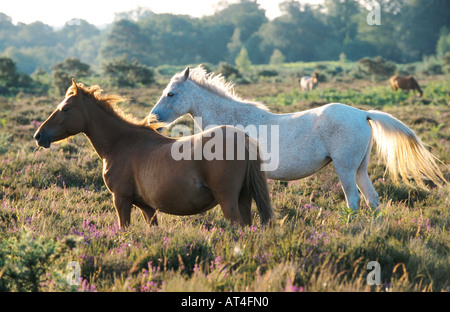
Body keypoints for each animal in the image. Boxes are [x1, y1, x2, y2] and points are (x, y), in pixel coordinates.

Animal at [33, 79, 274, 228]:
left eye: (65, 108)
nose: (39, 135)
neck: (121, 143)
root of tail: (243, 138)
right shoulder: (148, 208)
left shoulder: (121, 200)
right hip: (243, 199)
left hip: (228, 200)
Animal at [150, 66, 446, 212]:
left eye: (171, 94)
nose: (153, 119)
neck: (232, 120)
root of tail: (363, 114)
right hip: (360, 168)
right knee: (373, 200)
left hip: (345, 169)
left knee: (353, 201)